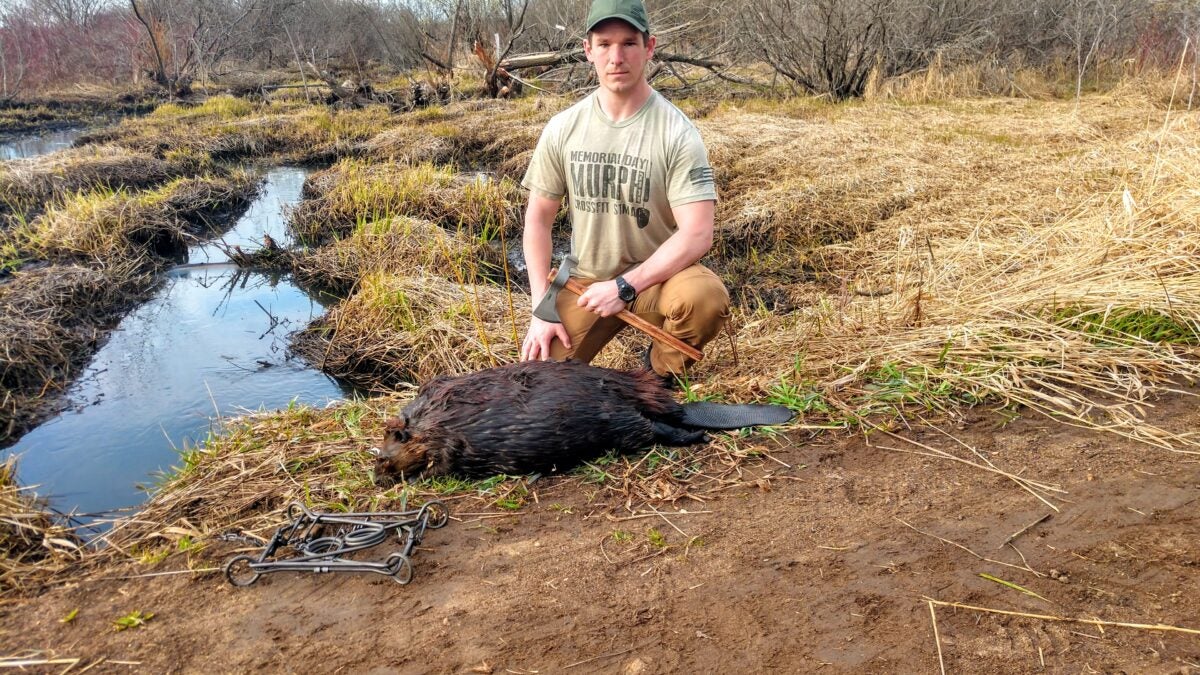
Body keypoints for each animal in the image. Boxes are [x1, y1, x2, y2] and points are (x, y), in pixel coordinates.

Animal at [369, 357, 792, 478]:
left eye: (386, 452)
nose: (376, 474)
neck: (431, 419)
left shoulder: (451, 441)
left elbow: (441, 465)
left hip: (612, 422)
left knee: (651, 429)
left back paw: (695, 436)